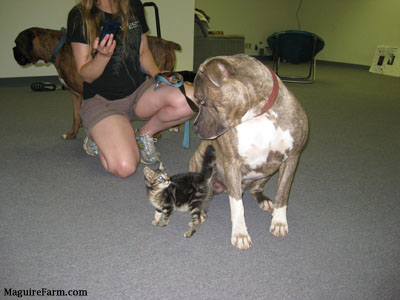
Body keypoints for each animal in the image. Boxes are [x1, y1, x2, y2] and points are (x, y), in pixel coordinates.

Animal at [12, 27, 181, 140]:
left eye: (16, 43)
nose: (12, 50)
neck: (58, 48)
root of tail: (167, 43)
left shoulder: (85, 93)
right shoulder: (74, 94)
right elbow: (76, 115)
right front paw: (72, 133)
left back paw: (157, 134)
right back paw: (174, 127)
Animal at [189, 54, 308, 251]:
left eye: (202, 101)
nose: (195, 127)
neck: (260, 114)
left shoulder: (292, 159)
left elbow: (283, 193)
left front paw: (279, 221)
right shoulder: (232, 163)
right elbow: (237, 205)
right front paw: (240, 233)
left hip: (268, 171)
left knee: (255, 188)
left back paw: (264, 200)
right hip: (200, 160)